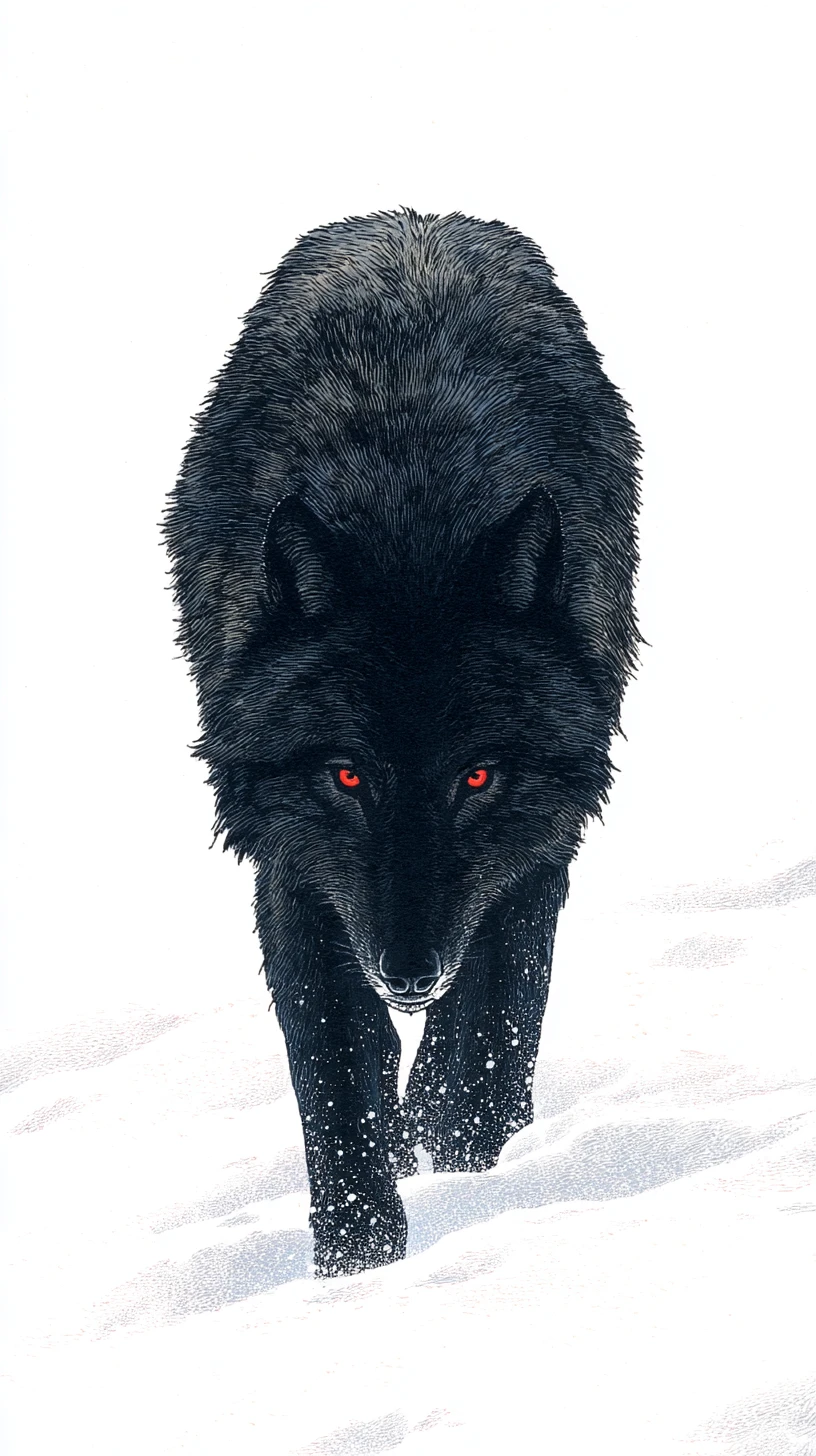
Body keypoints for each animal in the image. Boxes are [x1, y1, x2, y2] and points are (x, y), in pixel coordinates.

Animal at [165, 210, 640, 1276]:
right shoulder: (298, 863)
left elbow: (497, 1017)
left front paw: (465, 1157)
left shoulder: (537, 836)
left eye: (478, 776)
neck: (410, 516)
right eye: (347, 776)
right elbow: (338, 1070)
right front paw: (358, 1270)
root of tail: (417, 216)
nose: (409, 973)